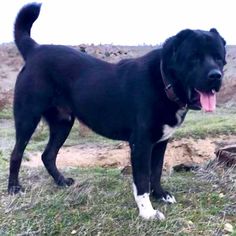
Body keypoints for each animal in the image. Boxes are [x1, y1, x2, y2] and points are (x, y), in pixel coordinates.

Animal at [8, 2, 227, 219]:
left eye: (219, 58)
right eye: (194, 57)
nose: (215, 76)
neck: (164, 81)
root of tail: (35, 50)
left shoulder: (160, 142)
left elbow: (156, 172)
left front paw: (160, 195)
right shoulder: (141, 143)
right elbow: (142, 179)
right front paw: (147, 212)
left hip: (63, 123)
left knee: (48, 155)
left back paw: (61, 182)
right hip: (28, 118)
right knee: (16, 153)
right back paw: (14, 188)